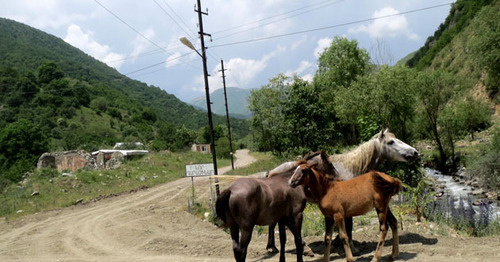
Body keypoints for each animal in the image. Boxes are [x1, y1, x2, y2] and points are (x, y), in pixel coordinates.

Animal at [266, 129, 418, 256]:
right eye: (391, 141)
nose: (415, 153)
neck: (351, 169)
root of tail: (271, 173)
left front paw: (337, 243)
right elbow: (349, 226)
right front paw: (350, 247)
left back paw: (273, 247)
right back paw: (302, 249)